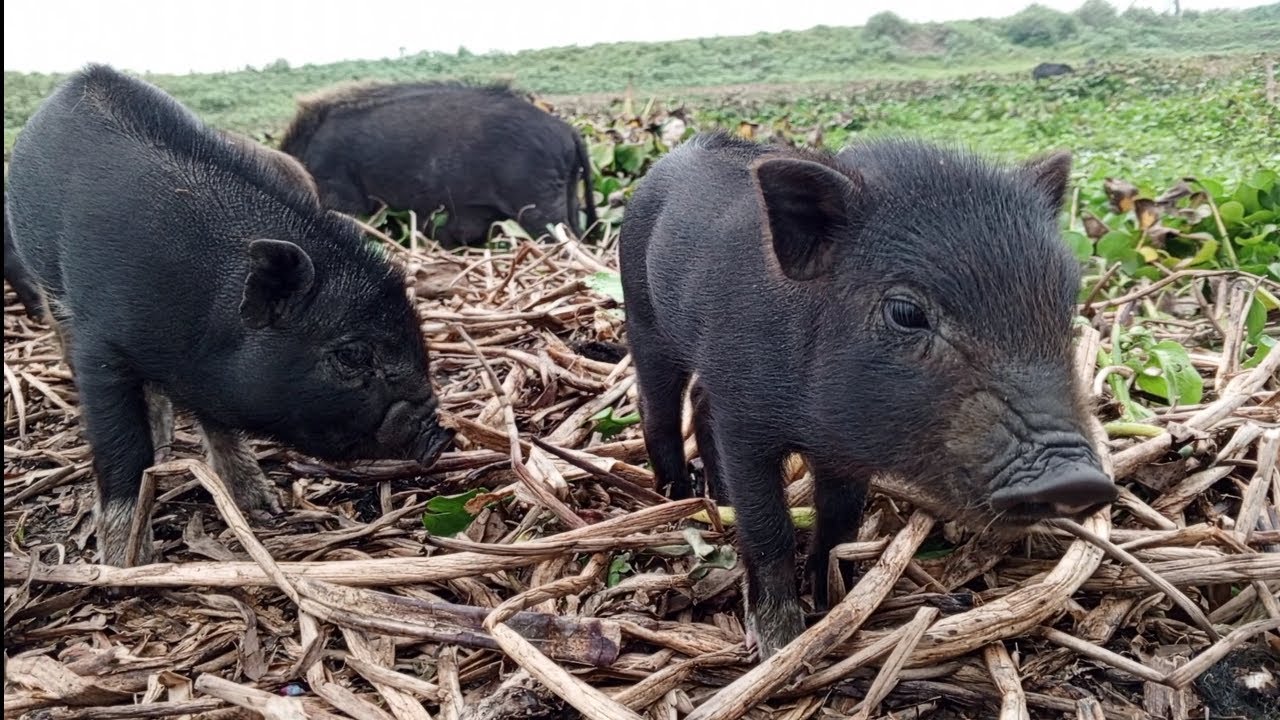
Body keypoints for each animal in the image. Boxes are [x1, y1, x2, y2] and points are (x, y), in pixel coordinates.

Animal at [6, 64, 455, 568]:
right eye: (353, 355)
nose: (441, 433)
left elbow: (219, 424)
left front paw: (265, 509)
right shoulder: (99, 347)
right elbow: (123, 447)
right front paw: (126, 565)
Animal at [619, 131, 1118, 658]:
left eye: (1066, 310)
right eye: (905, 313)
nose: (1077, 478)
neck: (810, 420)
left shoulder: (845, 450)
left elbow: (842, 522)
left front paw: (833, 604)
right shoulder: (744, 423)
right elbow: (768, 528)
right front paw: (779, 645)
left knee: (699, 398)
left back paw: (715, 497)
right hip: (642, 316)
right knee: (657, 407)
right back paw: (675, 497)